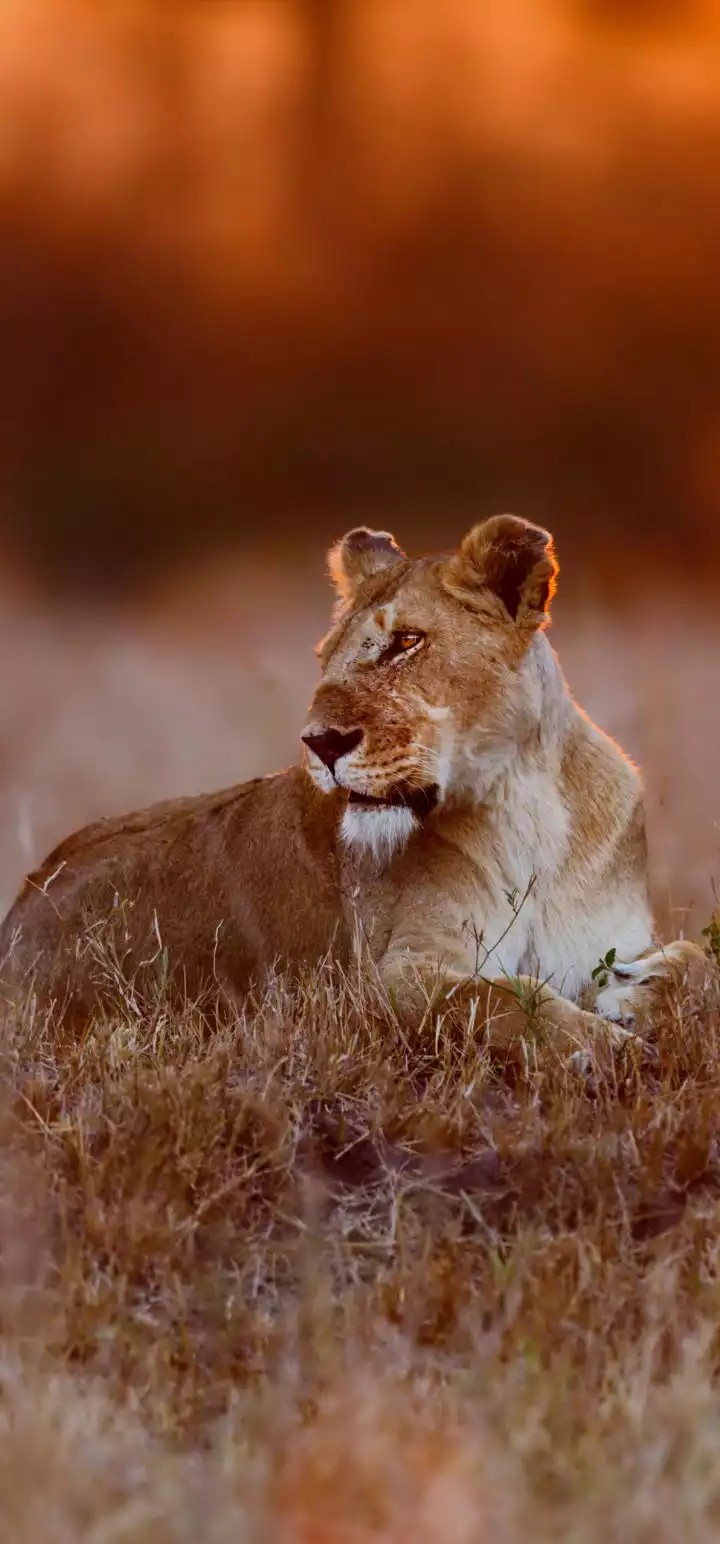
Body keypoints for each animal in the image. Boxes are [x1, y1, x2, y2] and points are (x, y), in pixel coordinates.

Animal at [0, 515, 706, 1055]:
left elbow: (700, 959)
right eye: (326, 658)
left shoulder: (614, 937)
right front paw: (610, 1049)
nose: (319, 742)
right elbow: (505, 1001)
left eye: (406, 643)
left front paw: (638, 992)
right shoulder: (387, 980)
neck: (523, 798)